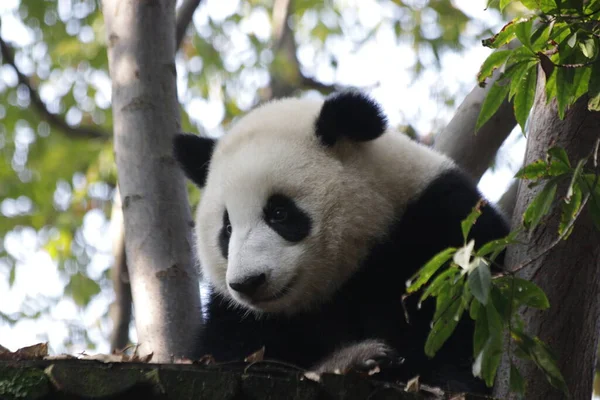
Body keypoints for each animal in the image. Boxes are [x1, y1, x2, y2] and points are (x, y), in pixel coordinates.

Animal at [173, 90, 510, 394]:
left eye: (279, 213)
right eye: (227, 228)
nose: (248, 282)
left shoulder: (442, 226)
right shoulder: (239, 316)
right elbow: (228, 351)